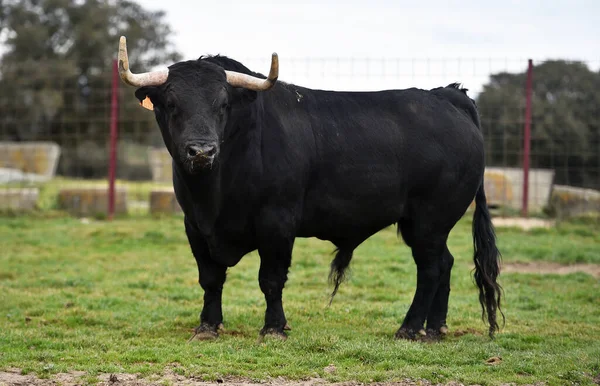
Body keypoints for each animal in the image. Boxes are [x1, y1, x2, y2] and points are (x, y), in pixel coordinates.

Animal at [130, 55, 502, 340]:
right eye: (171, 104)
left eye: (223, 104)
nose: (201, 152)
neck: (215, 194)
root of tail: (447, 96)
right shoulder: (195, 225)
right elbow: (210, 278)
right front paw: (208, 326)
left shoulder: (277, 222)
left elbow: (271, 279)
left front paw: (274, 328)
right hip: (430, 225)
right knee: (446, 263)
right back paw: (435, 328)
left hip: (429, 220)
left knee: (430, 269)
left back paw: (410, 329)